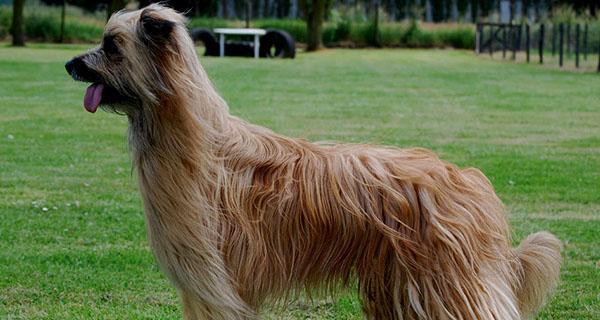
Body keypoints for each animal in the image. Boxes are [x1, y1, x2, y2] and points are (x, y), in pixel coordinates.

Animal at [65, 4, 564, 318]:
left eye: (112, 46)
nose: (70, 65)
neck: (199, 140)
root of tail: (467, 180)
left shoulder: (211, 282)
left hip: (444, 281)